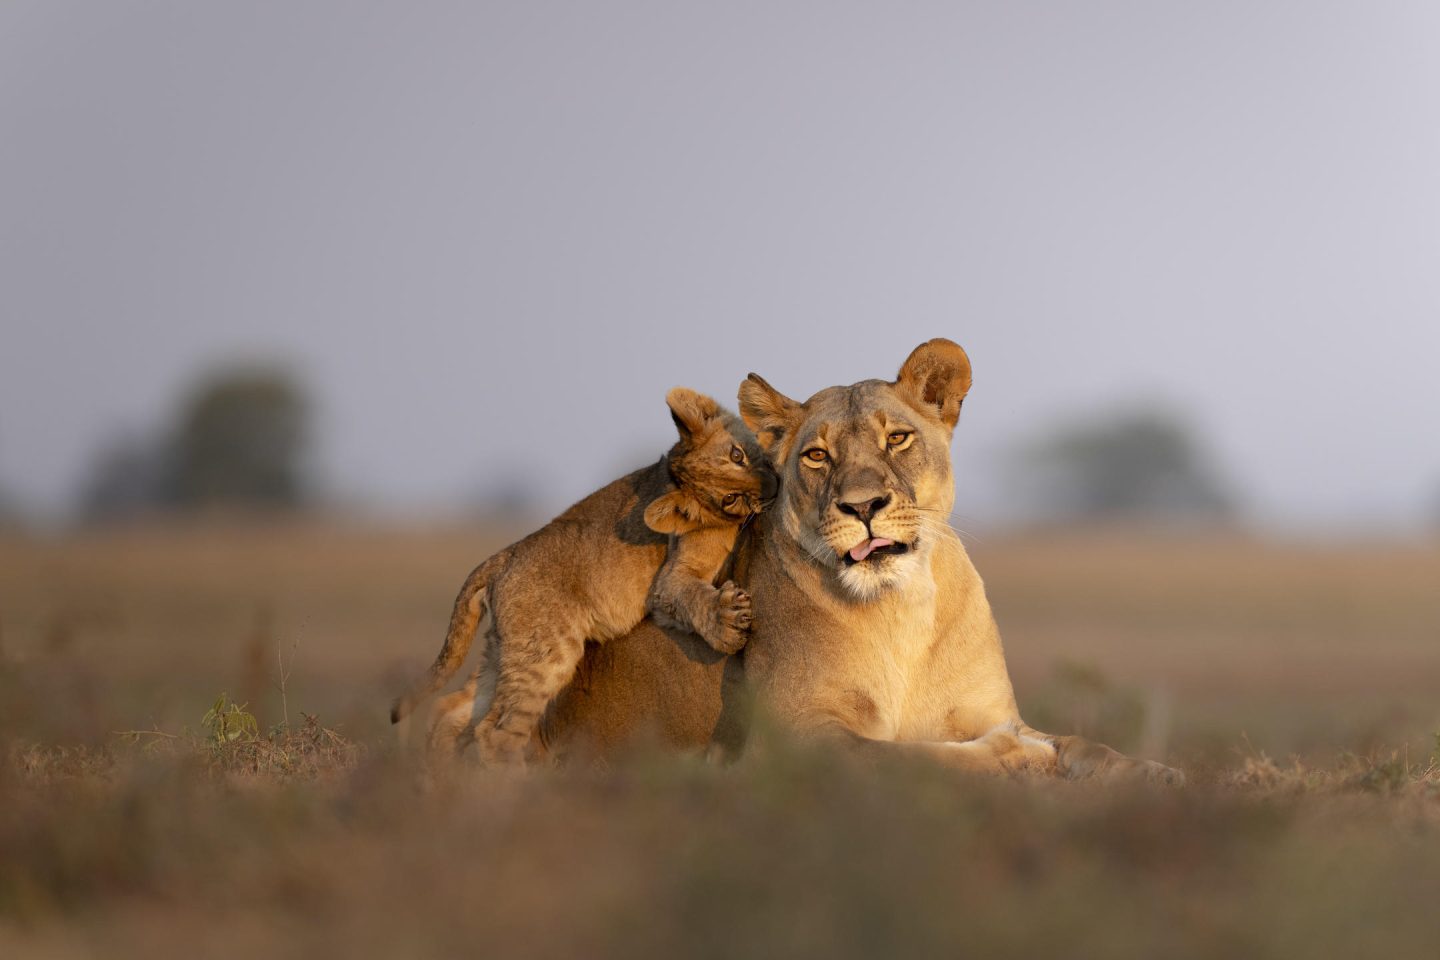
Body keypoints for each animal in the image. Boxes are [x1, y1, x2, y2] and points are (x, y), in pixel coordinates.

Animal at [390, 386, 777, 764]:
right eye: (729, 499)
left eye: (739, 455)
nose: (772, 487)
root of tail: (503, 557)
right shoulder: (667, 581)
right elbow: (687, 596)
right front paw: (729, 625)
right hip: (546, 654)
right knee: (495, 732)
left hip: (505, 651)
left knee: (451, 709)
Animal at [540, 339, 1182, 783]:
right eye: (817, 456)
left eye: (897, 438)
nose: (863, 506)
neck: (901, 608)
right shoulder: (791, 741)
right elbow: (912, 758)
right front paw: (1014, 758)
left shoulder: (991, 709)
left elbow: (1083, 744)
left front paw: (1156, 772)